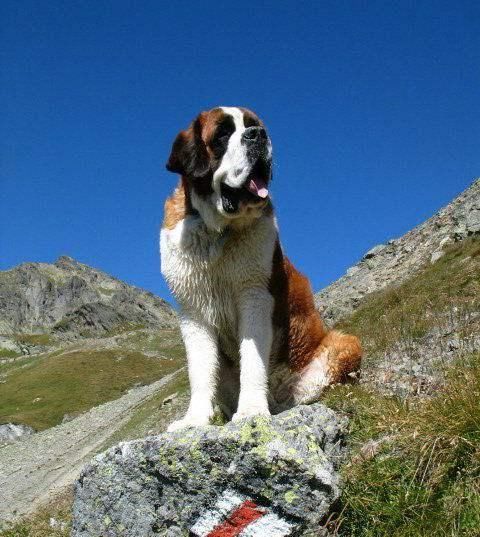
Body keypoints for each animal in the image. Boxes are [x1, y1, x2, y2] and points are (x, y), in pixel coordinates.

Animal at [161, 105, 360, 432]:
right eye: (222, 134)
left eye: (254, 125)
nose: (258, 135)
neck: (219, 232)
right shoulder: (193, 312)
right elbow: (200, 371)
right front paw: (194, 420)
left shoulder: (254, 296)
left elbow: (252, 359)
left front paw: (252, 410)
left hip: (345, 343)